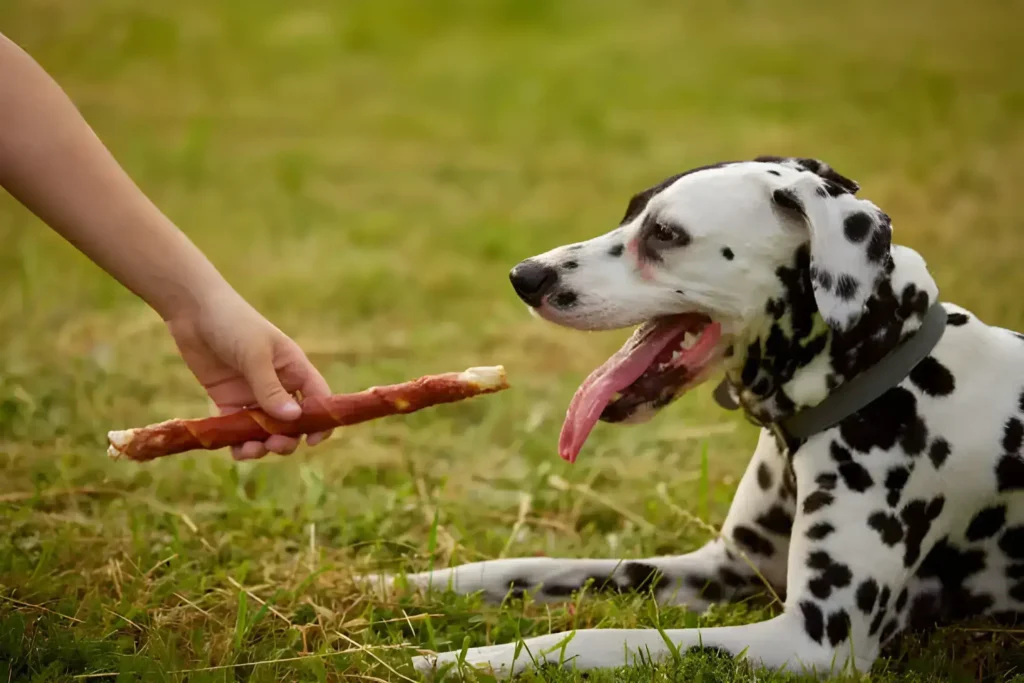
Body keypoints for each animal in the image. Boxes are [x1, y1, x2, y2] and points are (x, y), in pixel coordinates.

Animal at [364, 158, 1019, 679]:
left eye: (666, 234)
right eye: (630, 214)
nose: (524, 276)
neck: (881, 365)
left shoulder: (813, 641)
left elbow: (595, 638)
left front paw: (466, 659)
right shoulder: (724, 568)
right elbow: (529, 567)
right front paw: (400, 585)